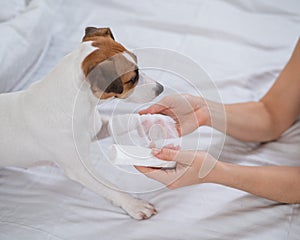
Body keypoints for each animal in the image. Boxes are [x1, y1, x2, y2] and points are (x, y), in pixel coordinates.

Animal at [0, 26, 164, 219]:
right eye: (132, 79)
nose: (160, 88)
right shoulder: (79, 170)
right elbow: (110, 187)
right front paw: (134, 204)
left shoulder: (98, 128)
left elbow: (123, 121)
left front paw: (152, 119)